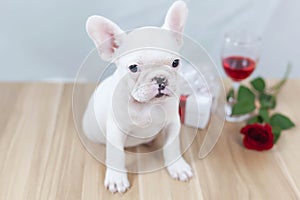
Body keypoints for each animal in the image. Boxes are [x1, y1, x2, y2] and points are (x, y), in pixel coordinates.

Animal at [82, 0, 192, 194]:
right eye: (133, 67)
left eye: (175, 63)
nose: (160, 79)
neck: (146, 106)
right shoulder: (115, 131)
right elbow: (116, 154)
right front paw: (117, 178)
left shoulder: (173, 124)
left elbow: (172, 146)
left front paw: (177, 166)